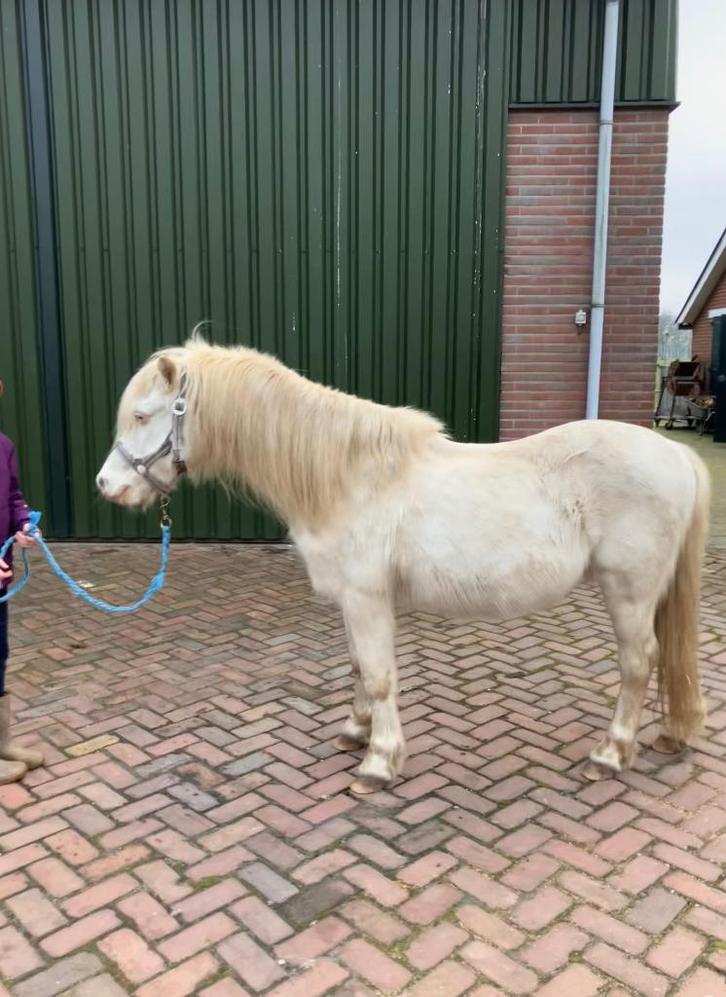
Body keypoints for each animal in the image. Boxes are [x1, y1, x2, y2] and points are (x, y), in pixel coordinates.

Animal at [97, 338, 710, 794]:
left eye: (144, 415)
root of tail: (676, 454)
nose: (107, 486)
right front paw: (355, 731)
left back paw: (611, 753)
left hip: (629, 592)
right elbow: (357, 669)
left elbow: (378, 674)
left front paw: (379, 762)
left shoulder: (367, 597)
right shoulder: (353, 601)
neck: (346, 475)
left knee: (638, 662)